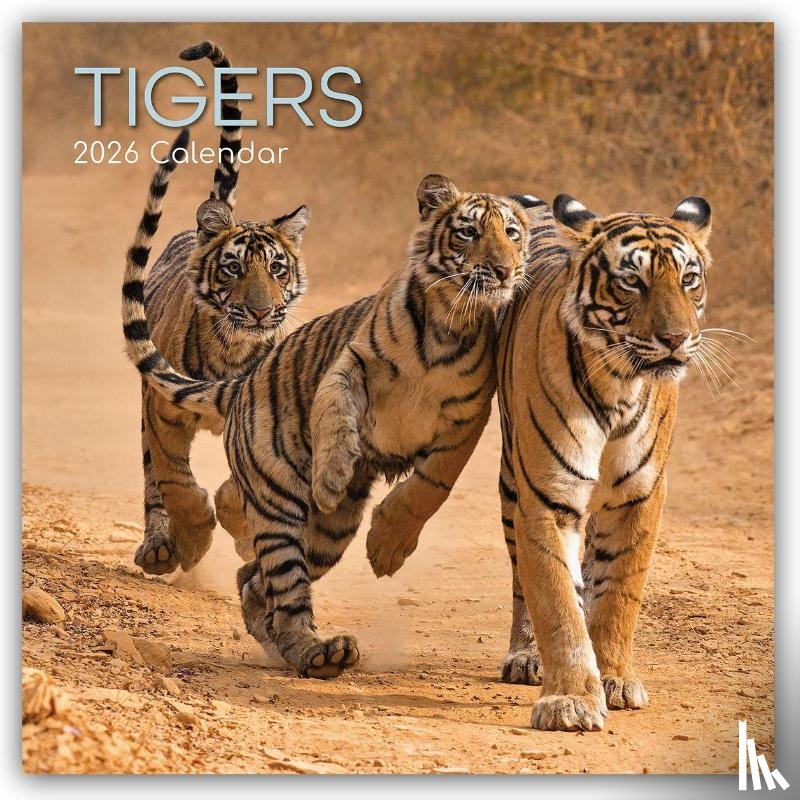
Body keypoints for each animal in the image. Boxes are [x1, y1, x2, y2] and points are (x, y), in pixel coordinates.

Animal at [122, 142, 530, 678]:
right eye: (470, 232)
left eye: (512, 234)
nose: (504, 270)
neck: (449, 320)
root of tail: (242, 383)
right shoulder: (351, 361)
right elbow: (333, 410)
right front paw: (332, 474)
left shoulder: (468, 418)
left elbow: (431, 485)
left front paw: (387, 547)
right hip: (278, 503)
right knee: (278, 580)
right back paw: (317, 650)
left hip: (327, 534)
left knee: (255, 582)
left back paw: (305, 648)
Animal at [132, 41, 309, 576]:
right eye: (234, 268)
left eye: (277, 268)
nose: (260, 313)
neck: (232, 348)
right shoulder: (162, 408)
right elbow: (176, 482)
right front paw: (193, 540)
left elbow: (242, 488)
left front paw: (241, 530)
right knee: (153, 477)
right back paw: (160, 547)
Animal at [492, 192, 713, 731]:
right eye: (632, 281)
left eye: (688, 279)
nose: (677, 338)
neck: (619, 385)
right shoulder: (546, 497)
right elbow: (556, 600)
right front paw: (569, 699)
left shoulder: (640, 496)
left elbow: (617, 593)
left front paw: (613, 678)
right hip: (512, 481)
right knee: (523, 578)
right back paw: (525, 655)